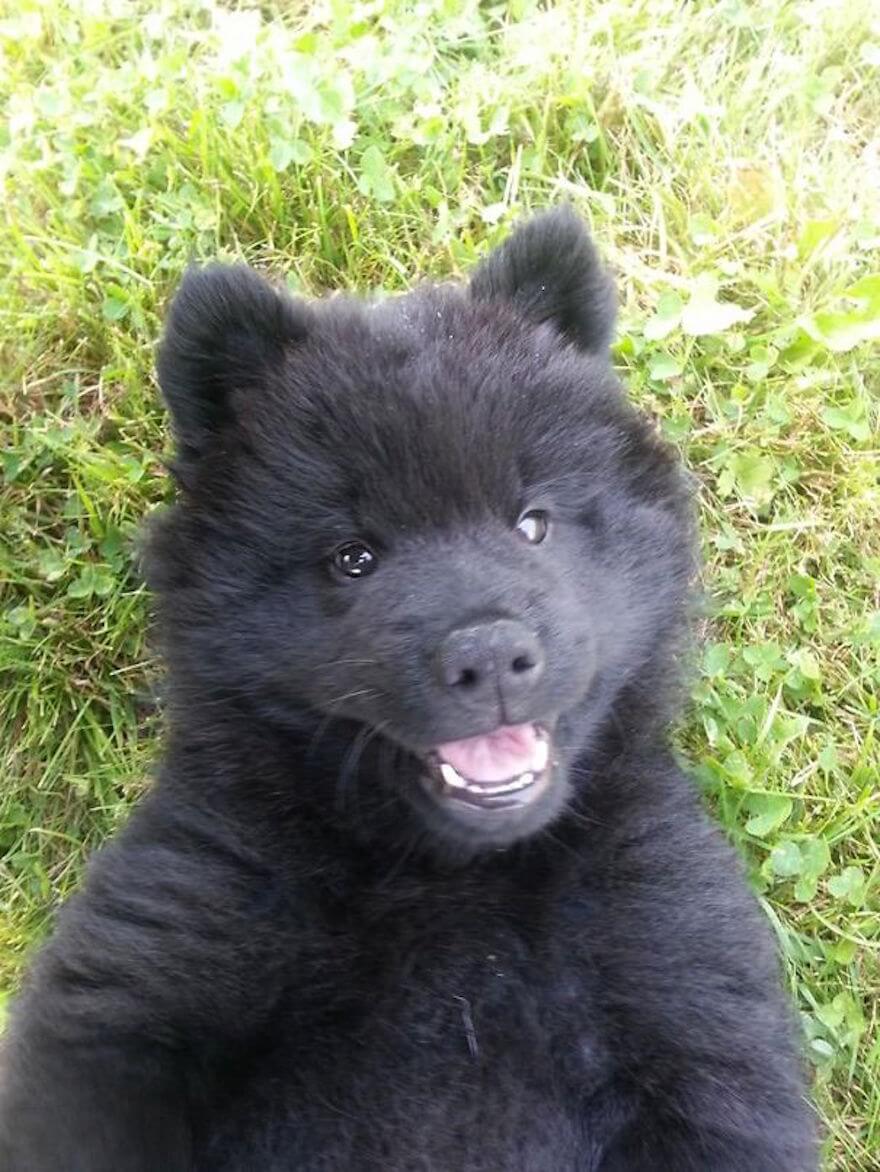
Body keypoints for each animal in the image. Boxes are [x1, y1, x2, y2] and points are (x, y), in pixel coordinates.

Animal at [0, 213, 815, 1172]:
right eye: (354, 557)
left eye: (531, 523)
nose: (490, 656)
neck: (446, 881)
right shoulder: (136, 989)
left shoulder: (691, 1005)